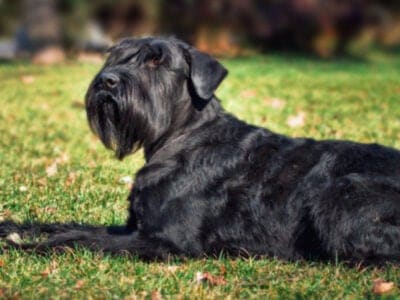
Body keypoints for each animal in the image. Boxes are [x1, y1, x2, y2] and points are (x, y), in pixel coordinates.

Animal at [0, 37, 400, 264]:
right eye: (115, 56)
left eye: (156, 61)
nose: (106, 81)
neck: (180, 137)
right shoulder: (136, 227)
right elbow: (69, 226)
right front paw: (13, 228)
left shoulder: (164, 241)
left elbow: (78, 239)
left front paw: (21, 248)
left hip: (337, 198)